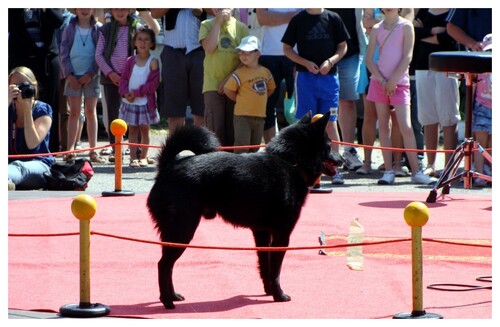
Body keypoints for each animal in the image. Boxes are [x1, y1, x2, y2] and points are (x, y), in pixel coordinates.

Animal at [146, 111, 340, 308]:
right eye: (329, 145)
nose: (341, 160)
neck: (291, 161)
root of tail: (167, 167)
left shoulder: (262, 233)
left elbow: (265, 265)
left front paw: (269, 290)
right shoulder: (282, 234)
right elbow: (275, 269)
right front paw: (278, 295)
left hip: (173, 235)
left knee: (168, 265)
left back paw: (173, 295)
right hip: (182, 231)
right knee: (163, 265)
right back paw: (167, 301)